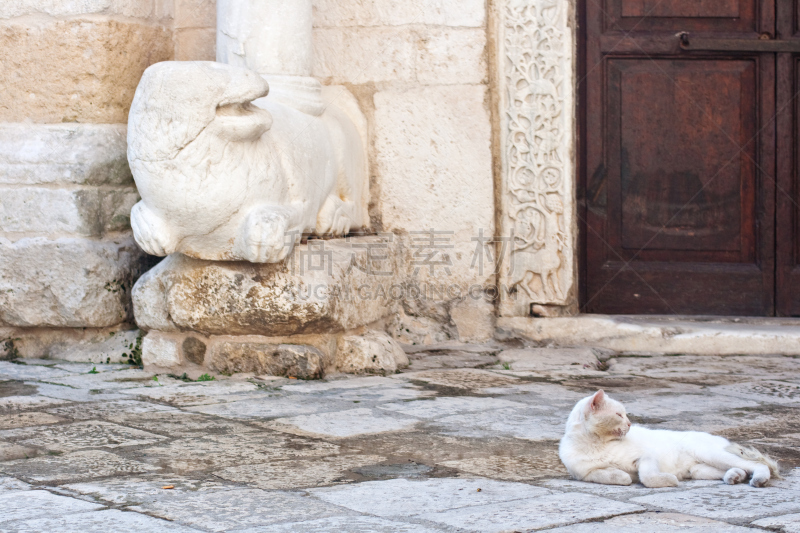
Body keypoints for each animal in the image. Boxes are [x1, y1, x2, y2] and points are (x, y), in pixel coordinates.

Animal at [560, 390, 780, 486]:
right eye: (619, 415)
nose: (630, 424)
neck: (596, 444)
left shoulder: (646, 457)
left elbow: (646, 477)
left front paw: (668, 480)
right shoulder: (585, 474)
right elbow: (615, 476)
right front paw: (623, 476)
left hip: (711, 454)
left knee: (758, 465)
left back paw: (758, 479)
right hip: (700, 469)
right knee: (738, 468)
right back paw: (735, 477)